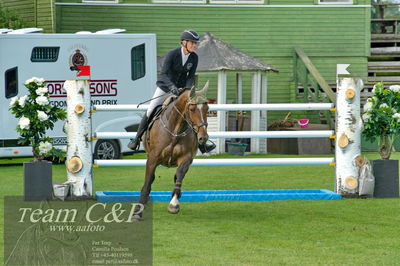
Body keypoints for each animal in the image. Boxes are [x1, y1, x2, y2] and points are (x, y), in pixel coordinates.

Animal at [134, 82, 211, 218]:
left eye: (207, 109)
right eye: (192, 109)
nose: (203, 138)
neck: (176, 130)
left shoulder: (186, 157)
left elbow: (179, 175)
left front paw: (174, 204)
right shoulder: (153, 158)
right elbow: (147, 182)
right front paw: (138, 211)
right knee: (151, 178)